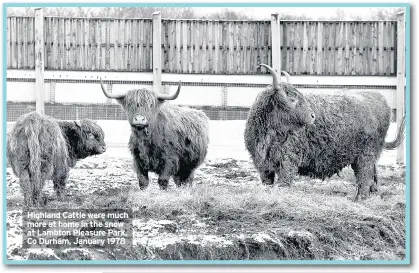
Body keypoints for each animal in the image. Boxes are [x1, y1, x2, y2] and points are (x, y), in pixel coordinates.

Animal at [246, 63, 406, 200]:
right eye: (291, 99)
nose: (312, 116)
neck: (268, 136)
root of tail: (378, 97)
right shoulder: (263, 166)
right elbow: (268, 183)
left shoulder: (288, 161)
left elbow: (283, 183)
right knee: (372, 173)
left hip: (366, 154)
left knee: (364, 175)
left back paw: (360, 198)